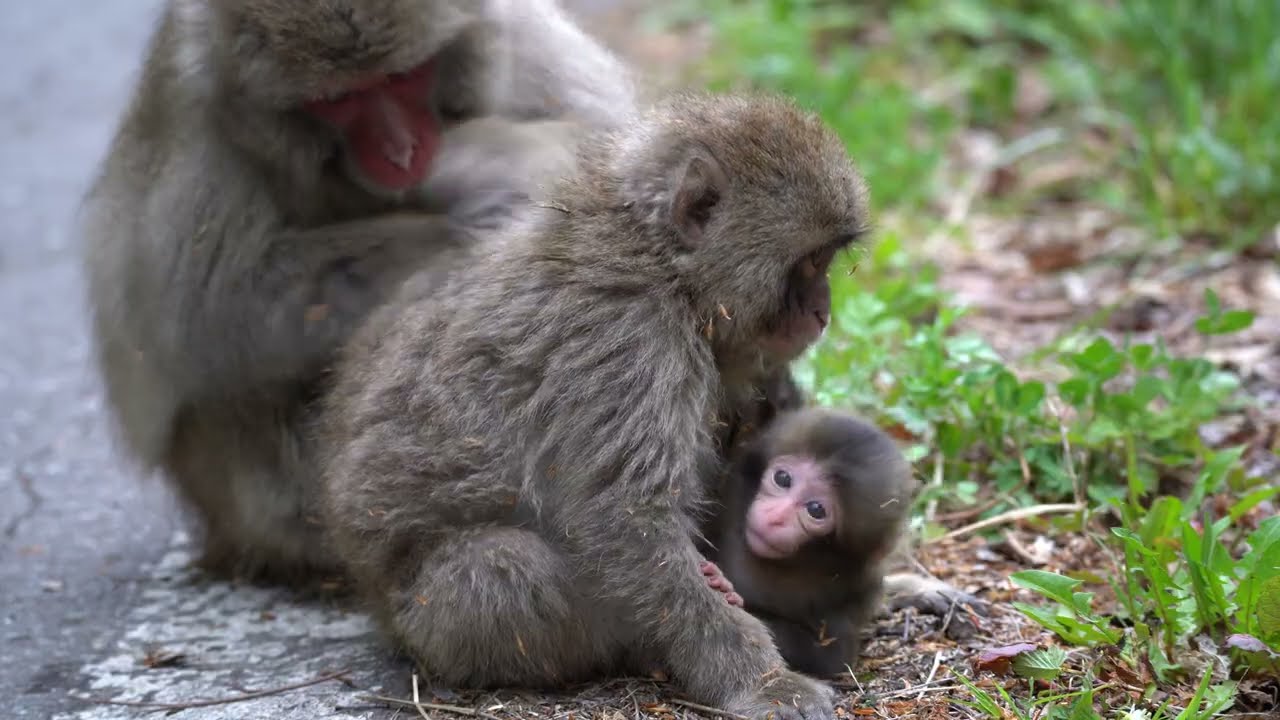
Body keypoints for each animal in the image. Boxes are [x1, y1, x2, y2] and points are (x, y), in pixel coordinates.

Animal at [80, 0, 638, 581]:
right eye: (339, 100)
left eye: (402, 77)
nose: (401, 152)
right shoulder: (198, 121)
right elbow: (214, 312)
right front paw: (487, 201)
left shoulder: (527, 52)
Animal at [317, 91, 872, 719]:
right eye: (810, 263)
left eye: (826, 260)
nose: (822, 311)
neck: (660, 264)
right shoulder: (629, 340)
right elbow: (626, 521)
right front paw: (759, 679)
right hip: (425, 623)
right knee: (504, 567)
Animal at [698, 408, 914, 677]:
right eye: (782, 478)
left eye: (816, 510)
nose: (775, 517)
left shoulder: (855, 591)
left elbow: (831, 658)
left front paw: (728, 589)